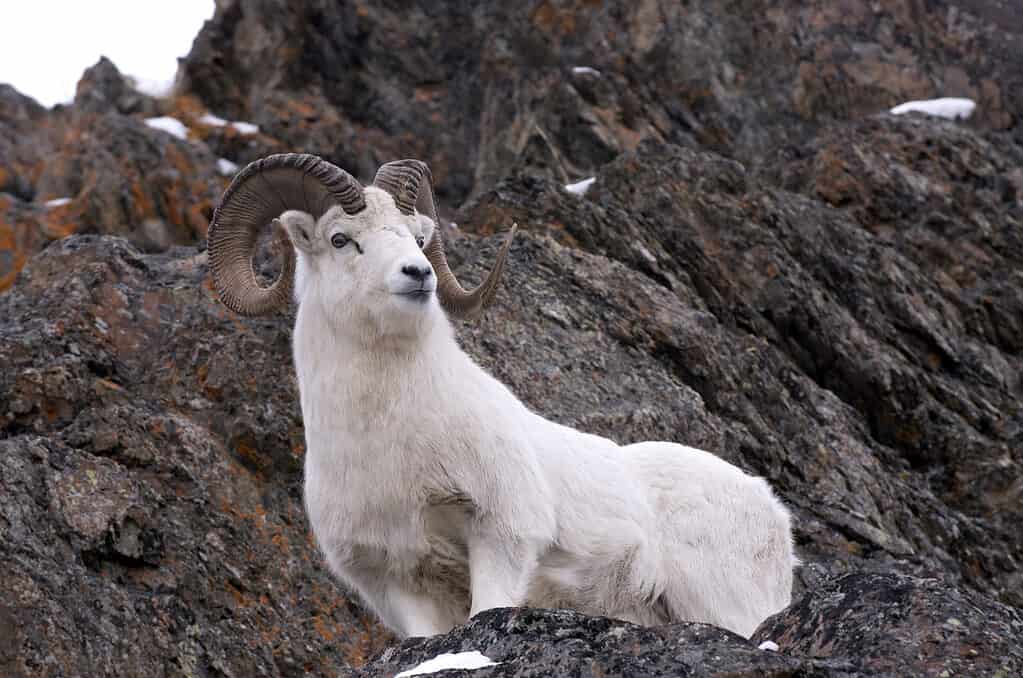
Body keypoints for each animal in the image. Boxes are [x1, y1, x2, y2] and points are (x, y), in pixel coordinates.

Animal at [209, 153, 797, 642]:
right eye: (339, 239)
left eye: (416, 236)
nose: (418, 274)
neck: (387, 438)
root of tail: (773, 513)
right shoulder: (400, 578)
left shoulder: (501, 537)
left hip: (722, 603)